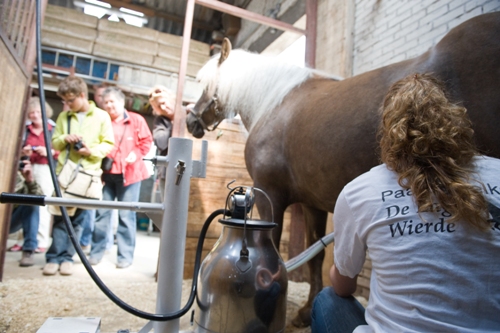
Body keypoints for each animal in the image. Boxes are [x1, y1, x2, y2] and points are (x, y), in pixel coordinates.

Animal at [188, 13, 500, 326]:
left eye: (204, 83)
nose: (191, 121)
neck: (273, 105)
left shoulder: (270, 194)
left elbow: (271, 250)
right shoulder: (312, 204)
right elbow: (315, 256)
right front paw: (306, 311)